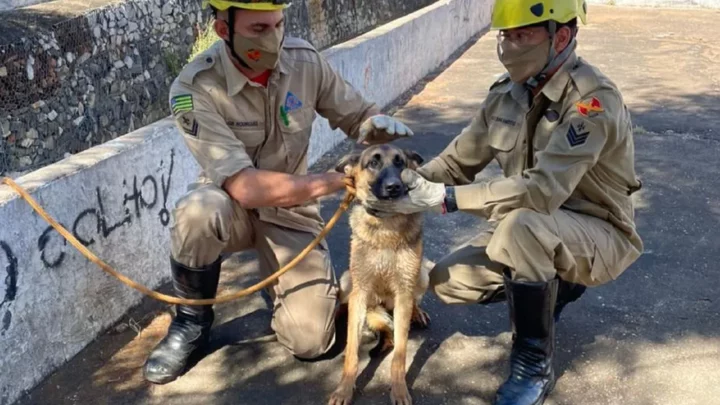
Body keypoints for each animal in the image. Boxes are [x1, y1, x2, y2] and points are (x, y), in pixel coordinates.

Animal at [328, 144, 434, 404]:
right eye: (373, 163)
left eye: (400, 163)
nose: (394, 186)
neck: (386, 225)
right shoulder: (359, 293)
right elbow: (352, 352)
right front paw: (344, 389)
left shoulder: (404, 292)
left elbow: (400, 354)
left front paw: (399, 390)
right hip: (348, 282)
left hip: (422, 274)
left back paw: (417, 313)